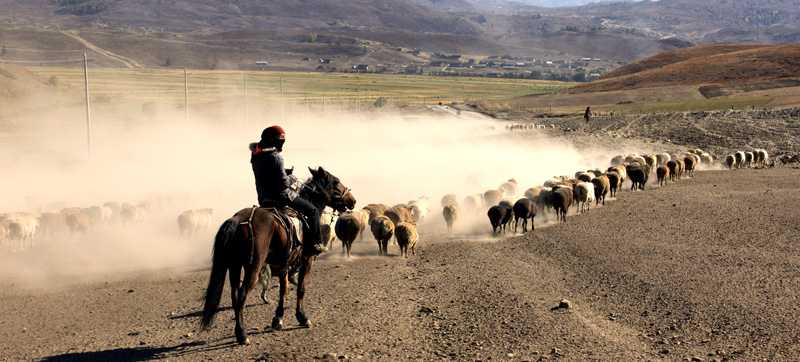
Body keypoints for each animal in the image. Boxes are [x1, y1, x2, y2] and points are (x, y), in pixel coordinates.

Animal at [198, 167, 354, 346]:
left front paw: (278, 319)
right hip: (253, 267)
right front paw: (302, 317)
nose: (352, 200)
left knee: (235, 296)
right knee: (242, 296)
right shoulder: (307, 260)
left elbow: (284, 290)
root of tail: (238, 219)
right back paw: (242, 334)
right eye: (336, 182)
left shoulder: (283, 263)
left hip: (235, 266)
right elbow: (301, 288)